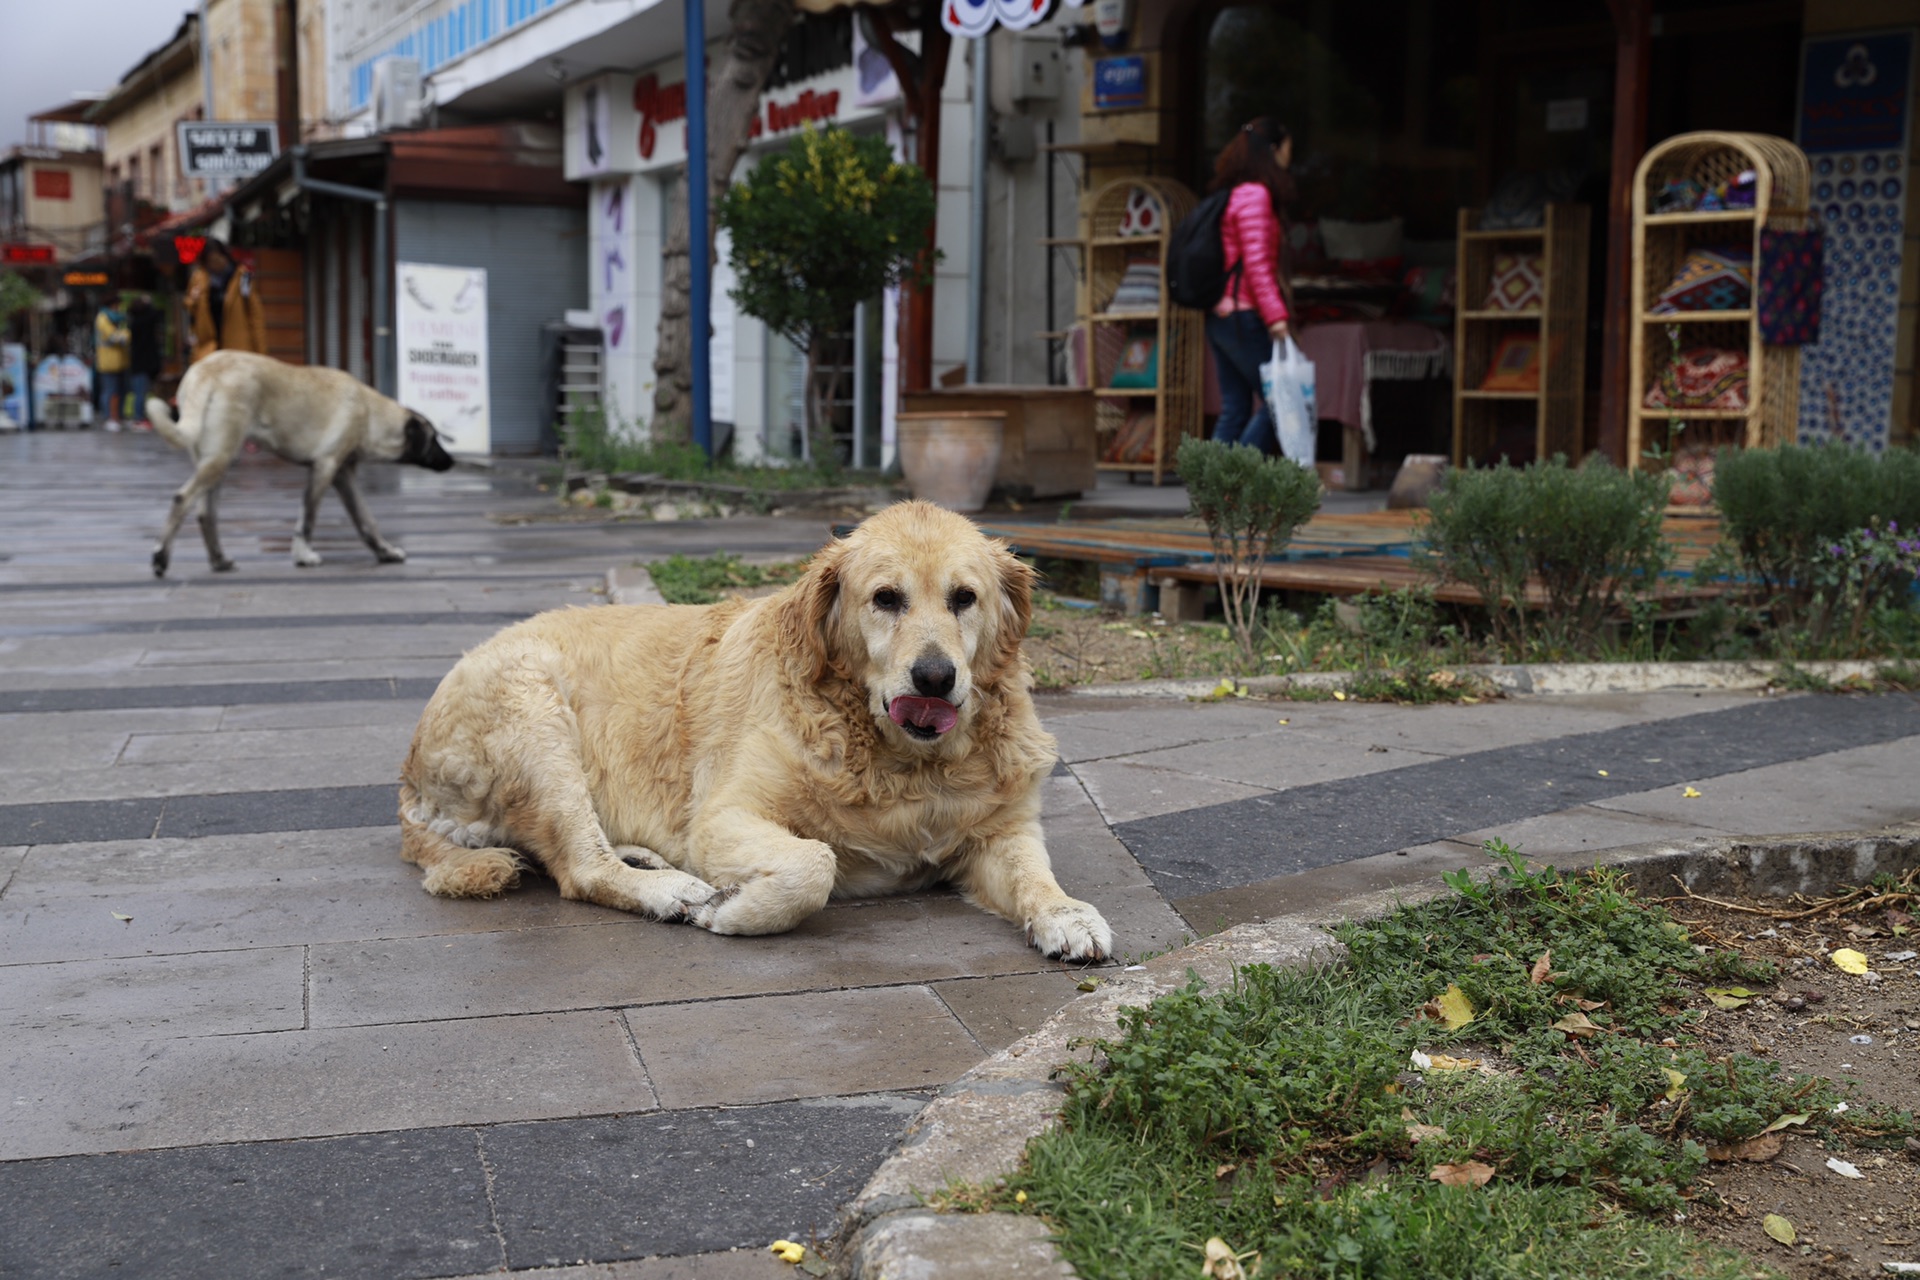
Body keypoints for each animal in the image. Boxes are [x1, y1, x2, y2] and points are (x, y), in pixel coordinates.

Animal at [148, 345, 453, 575]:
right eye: (434, 439)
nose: (451, 461)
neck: (370, 412)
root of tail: (206, 371)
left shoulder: (343, 475)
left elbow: (366, 520)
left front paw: (385, 551)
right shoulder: (324, 468)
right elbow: (308, 518)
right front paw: (303, 555)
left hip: (215, 462)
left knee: (205, 513)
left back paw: (218, 560)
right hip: (221, 457)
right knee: (182, 499)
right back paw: (161, 558)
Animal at [401, 498, 1113, 959]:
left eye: (965, 598)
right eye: (886, 598)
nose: (936, 678)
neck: (900, 761)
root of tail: (408, 778)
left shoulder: (1002, 830)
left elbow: (1033, 873)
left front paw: (1066, 913)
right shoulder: (723, 817)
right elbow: (815, 862)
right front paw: (735, 910)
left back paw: (644, 858)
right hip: (537, 711)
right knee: (579, 867)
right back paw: (668, 888)